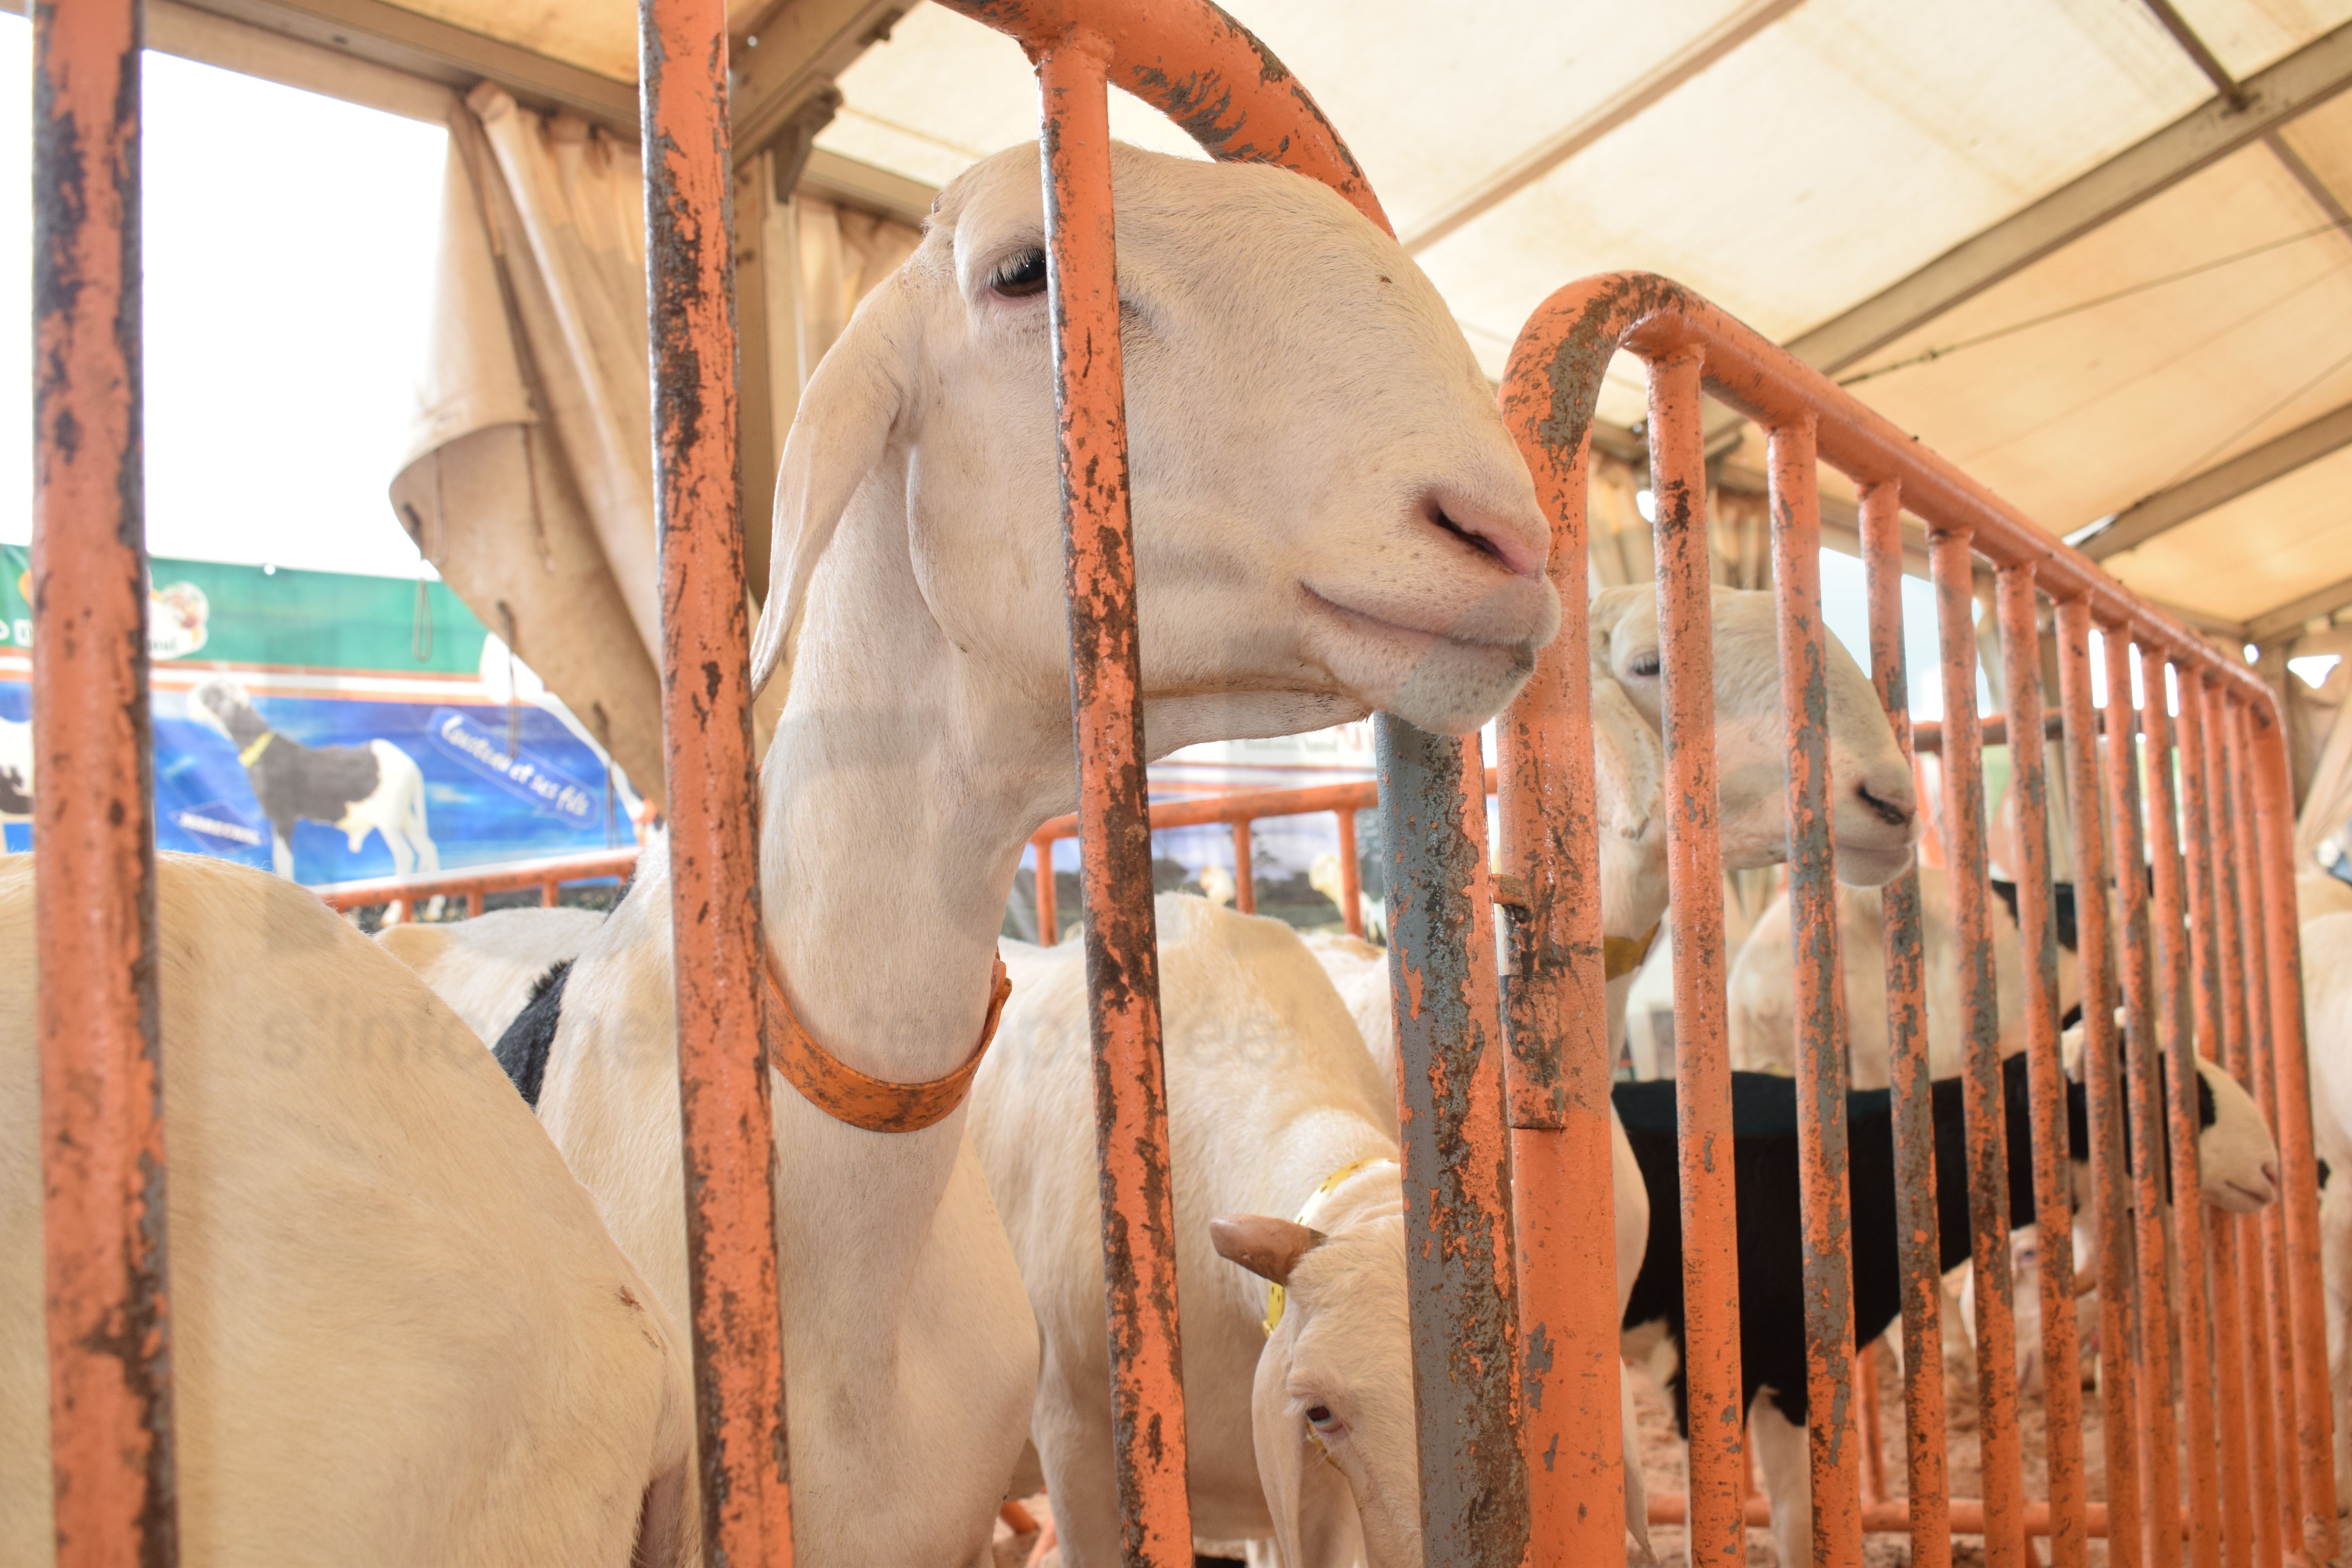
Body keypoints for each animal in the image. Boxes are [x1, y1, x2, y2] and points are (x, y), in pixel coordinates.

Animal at [186, 675, 440, 884]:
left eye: (209, 694)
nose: (189, 700)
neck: (265, 751)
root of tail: (411, 766)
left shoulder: (283, 816)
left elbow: (284, 862)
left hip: (388, 819)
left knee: (405, 855)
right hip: (404, 815)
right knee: (428, 848)